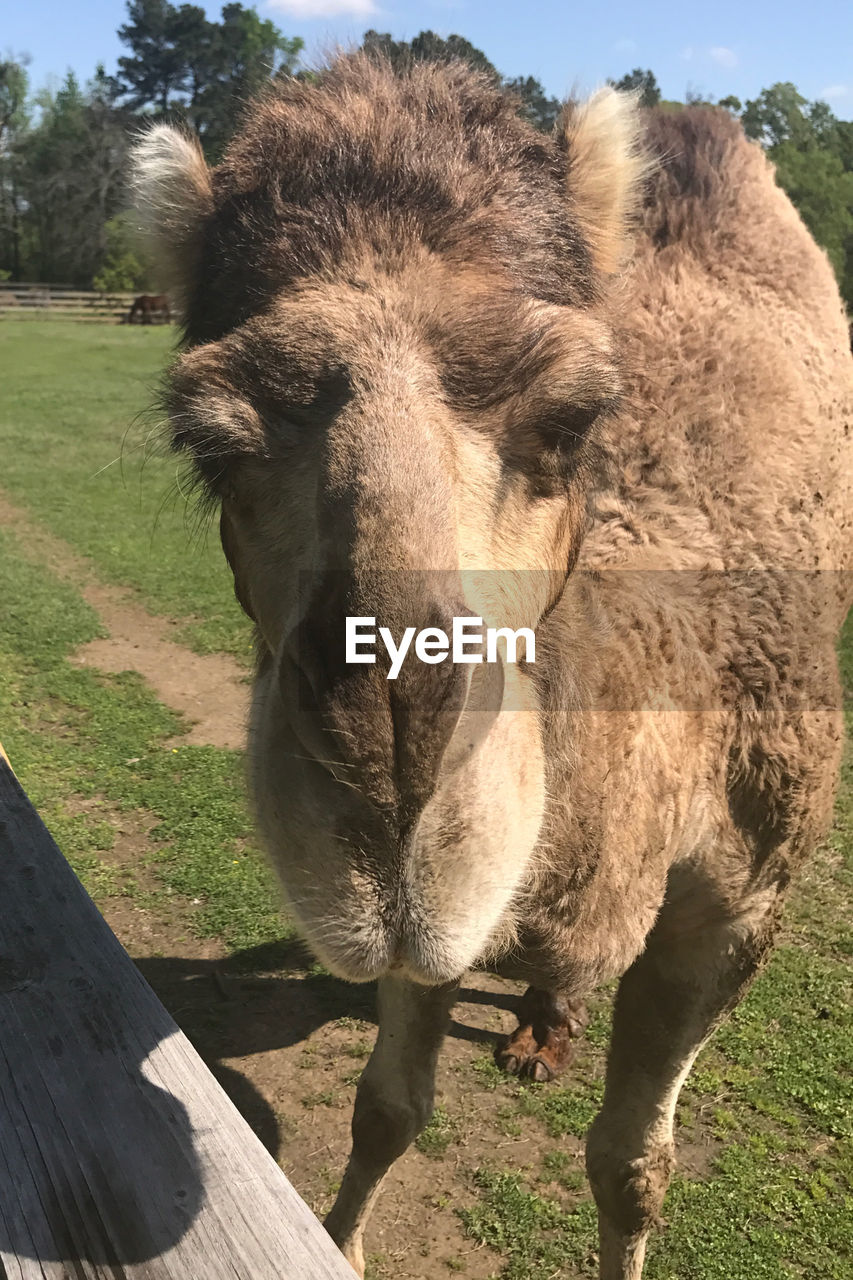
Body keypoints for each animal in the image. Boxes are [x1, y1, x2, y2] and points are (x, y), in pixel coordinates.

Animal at [129, 57, 845, 1280]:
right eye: (210, 447)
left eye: (572, 417)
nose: (386, 768)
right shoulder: (439, 924)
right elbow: (386, 1109)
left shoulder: (743, 900)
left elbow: (633, 1165)